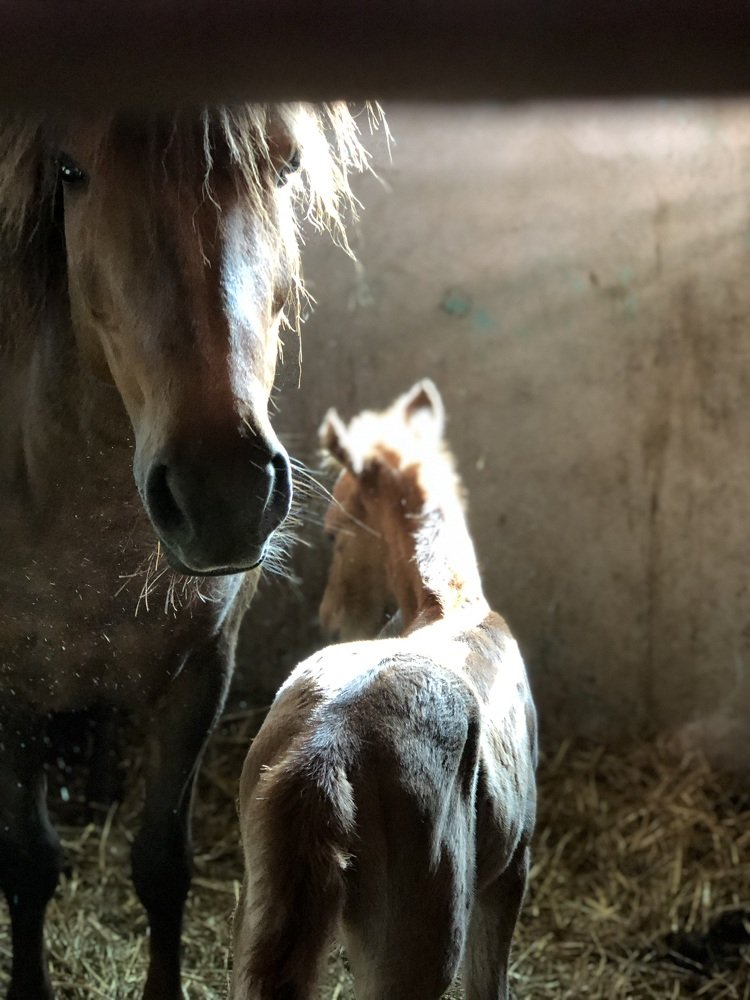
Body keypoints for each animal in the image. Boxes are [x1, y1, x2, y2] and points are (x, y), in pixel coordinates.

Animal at [0, 104, 369, 1000]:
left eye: (285, 165)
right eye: (71, 171)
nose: (222, 495)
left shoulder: (200, 672)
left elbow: (162, 865)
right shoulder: (11, 694)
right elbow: (27, 867)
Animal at [231, 380, 538, 1000]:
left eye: (332, 533)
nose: (331, 617)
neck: (451, 609)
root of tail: (328, 746)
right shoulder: (511, 868)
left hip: (256, 911)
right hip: (418, 946)